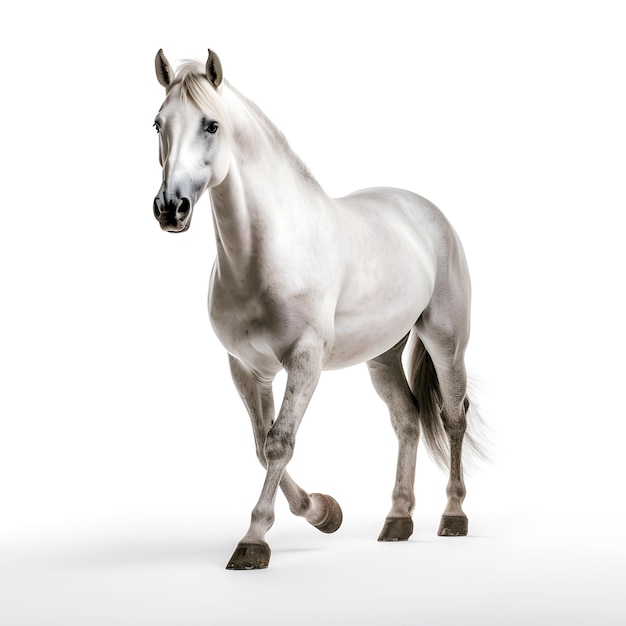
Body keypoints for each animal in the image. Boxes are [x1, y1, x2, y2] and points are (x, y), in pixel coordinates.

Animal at [154, 46, 480, 568]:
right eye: (157, 123)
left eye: (211, 124)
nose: (170, 208)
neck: (266, 252)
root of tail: (425, 210)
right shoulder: (247, 368)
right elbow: (260, 443)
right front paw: (325, 512)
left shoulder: (305, 360)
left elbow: (279, 442)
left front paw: (254, 541)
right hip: (382, 356)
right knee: (407, 421)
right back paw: (398, 520)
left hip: (447, 344)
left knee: (452, 417)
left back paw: (453, 515)